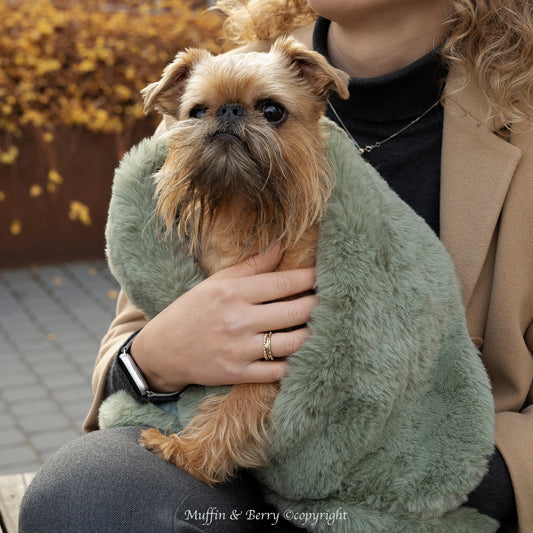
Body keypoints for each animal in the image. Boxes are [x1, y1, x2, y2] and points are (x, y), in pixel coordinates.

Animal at [141, 36, 350, 486]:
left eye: (272, 111)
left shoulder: (277, 353)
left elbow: (235, 409)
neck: (244, 210)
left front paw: (187, 454)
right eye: (197, 111)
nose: (229, 110)